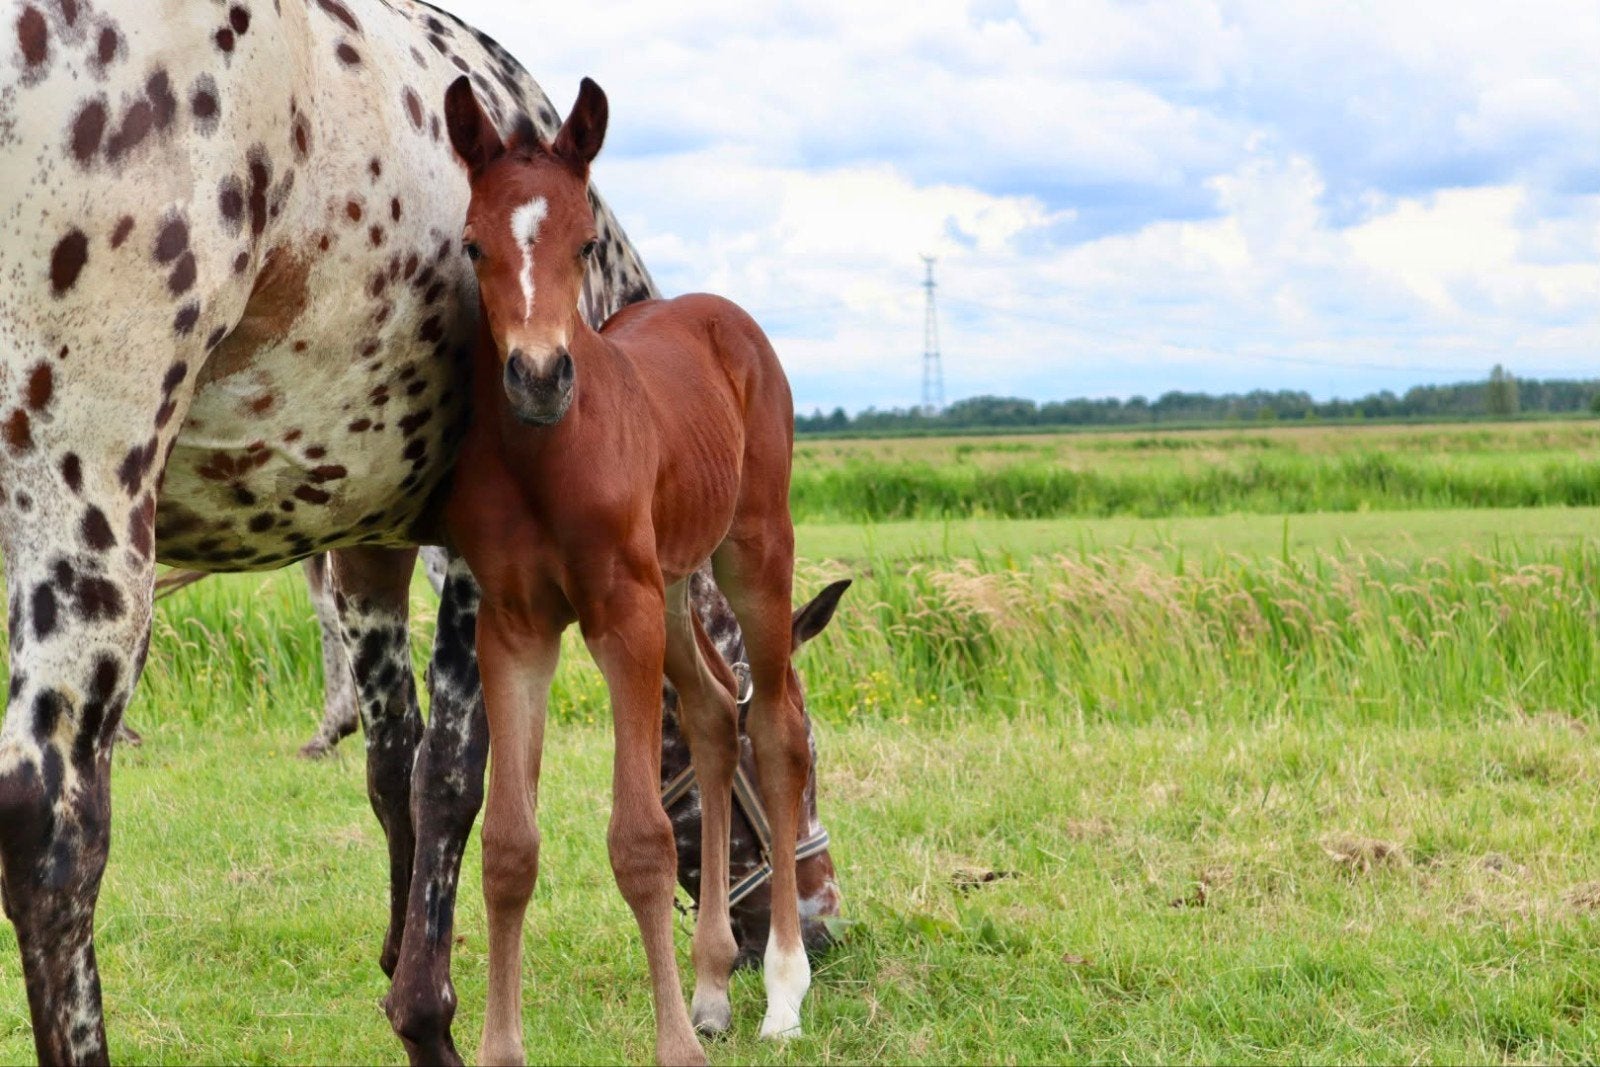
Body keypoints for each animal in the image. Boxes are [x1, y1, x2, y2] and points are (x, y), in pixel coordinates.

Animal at [0, 2, 660, 1061]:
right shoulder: (476, 560)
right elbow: (455, 773)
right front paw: (428, 1014)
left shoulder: (368, 547)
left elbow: (396, 761)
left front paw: (398, 961)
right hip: (84, 498)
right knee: (52, 827)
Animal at [440, 76, 813, 1064]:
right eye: (474, 243)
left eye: (583, 242)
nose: (538, 377)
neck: (549, 457)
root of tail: (719, 311)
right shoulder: (515, 626)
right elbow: (509, 845)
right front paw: (500, 1048)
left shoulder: (620, 614)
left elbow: (642, 839)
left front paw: (676, 1044)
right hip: (675, 584)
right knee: (719, 714)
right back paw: (716, 983)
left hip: (753, 551)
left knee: (777, 730)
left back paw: (782, 990)